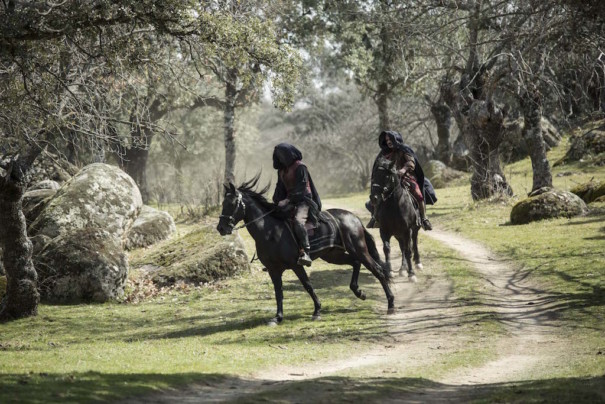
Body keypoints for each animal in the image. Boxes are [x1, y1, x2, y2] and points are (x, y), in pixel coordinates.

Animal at [217, 177, 396, 326]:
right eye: (223, 203)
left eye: (232, 203)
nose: (221, 228)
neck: (270, 231)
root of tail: (353, 218)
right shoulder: (274, 270)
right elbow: (278, 292)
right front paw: (278, 317)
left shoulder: (296, 265)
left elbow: (307, 285)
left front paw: (317, 310)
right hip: (332, 255)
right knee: (355, 263)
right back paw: (358, 292)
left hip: (359, 250)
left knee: (378, 270)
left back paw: (391, 304)